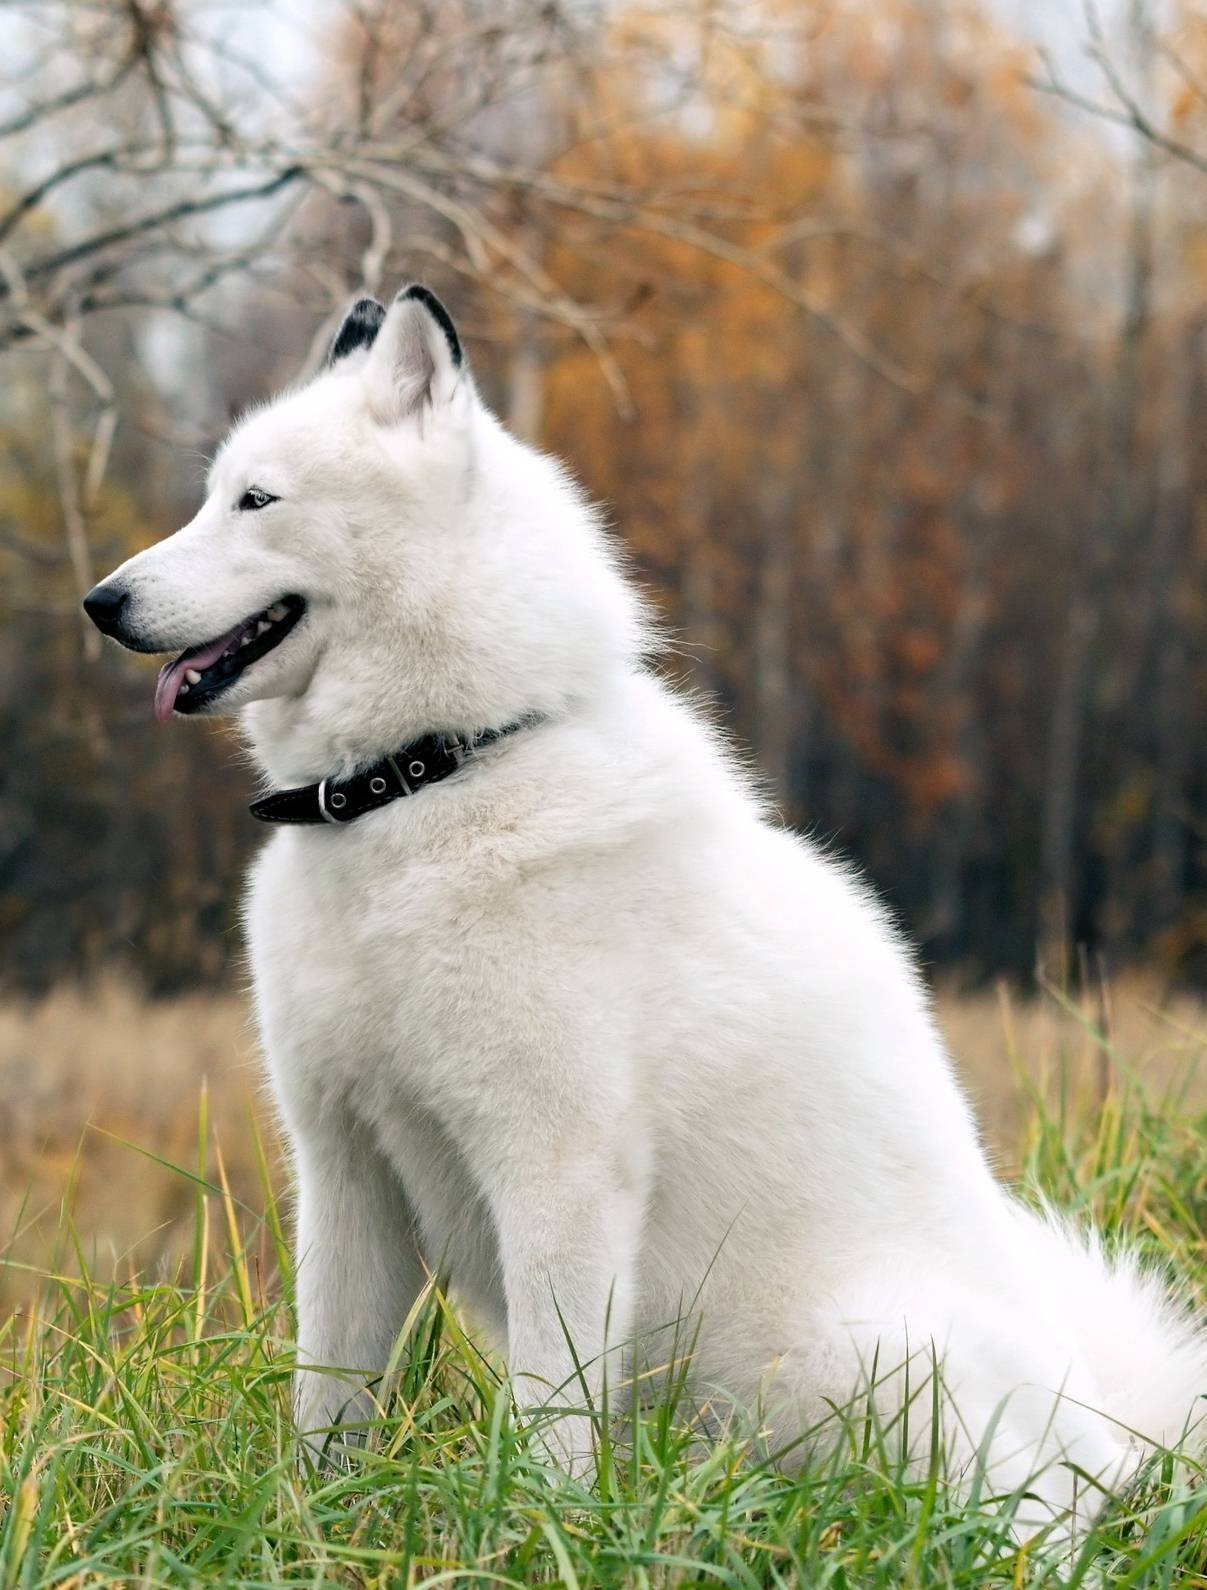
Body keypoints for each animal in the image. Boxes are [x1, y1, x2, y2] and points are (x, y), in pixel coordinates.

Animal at [82, 283, 1202, 1526]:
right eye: (211, 494)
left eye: (257, 500)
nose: (101, 601)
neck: (431, 778)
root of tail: (1108, 1435)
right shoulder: (345, 1173)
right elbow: (328, 1403)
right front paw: (317, 1532)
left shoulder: (558, 1171)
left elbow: (551, 1415)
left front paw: (536, 1535)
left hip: (860, 1359)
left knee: (1017, 1527)